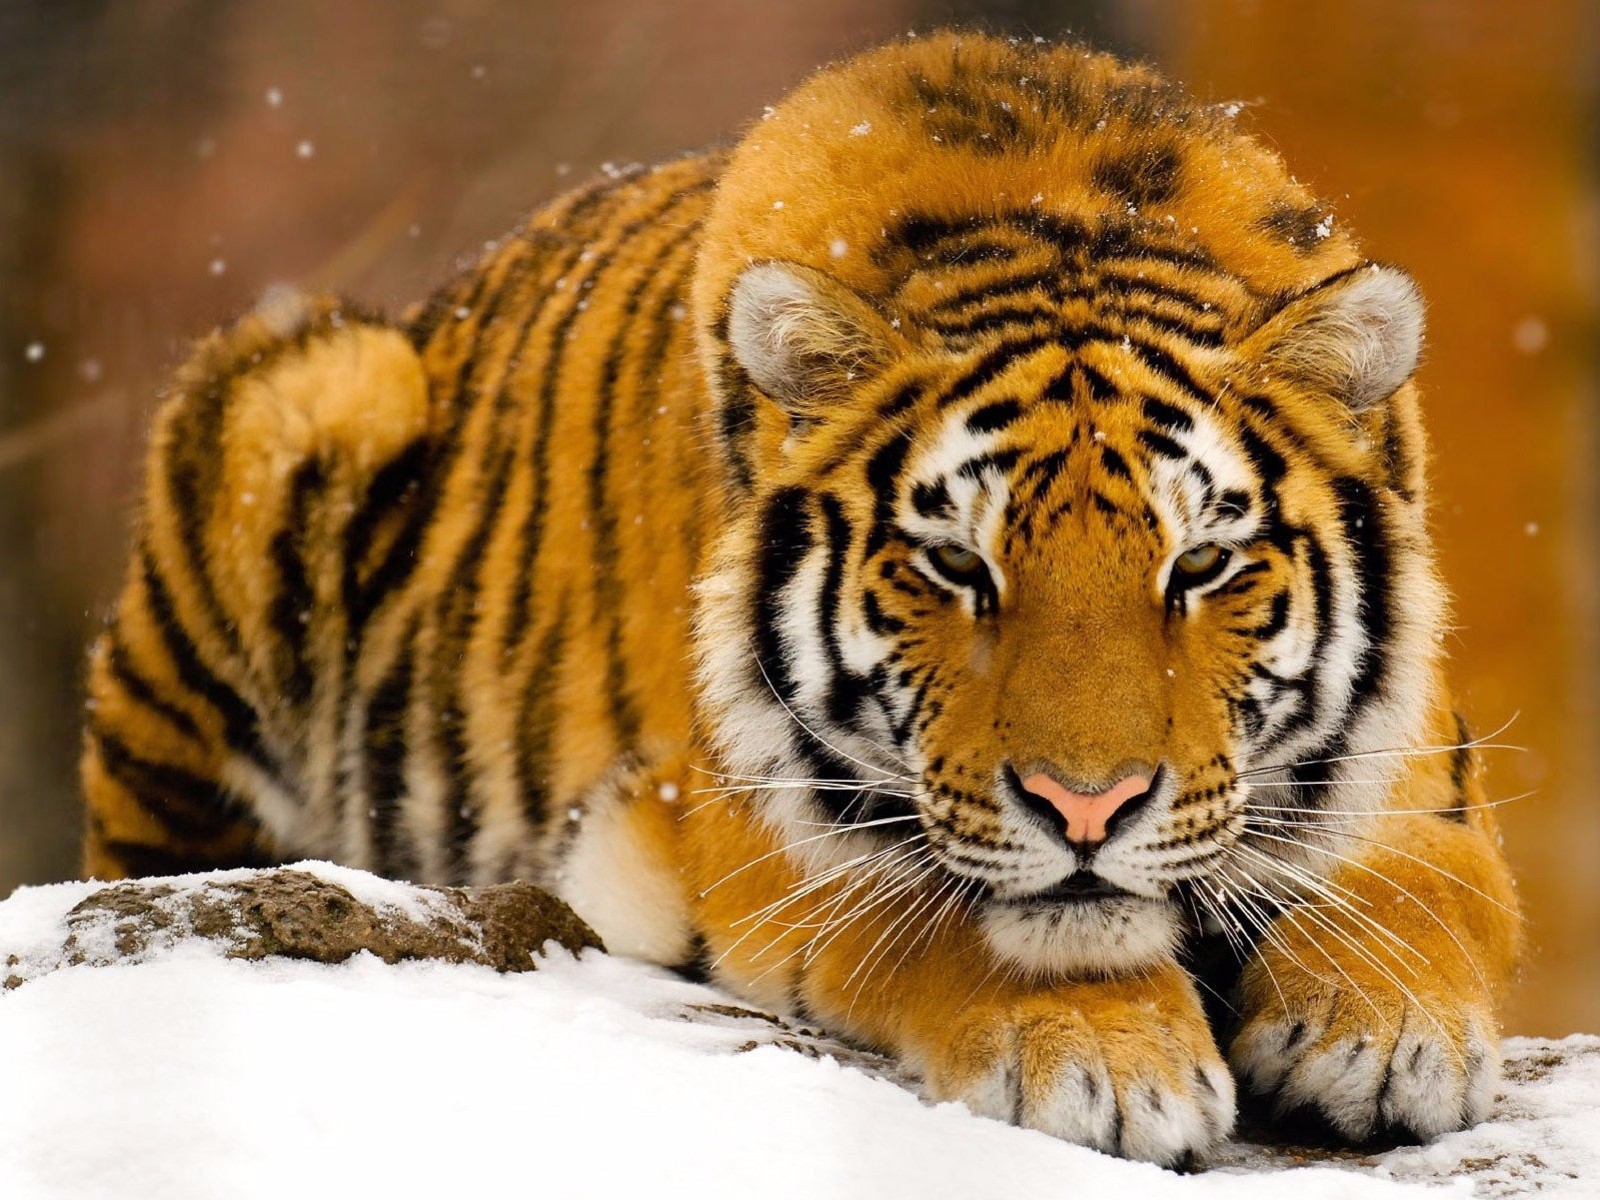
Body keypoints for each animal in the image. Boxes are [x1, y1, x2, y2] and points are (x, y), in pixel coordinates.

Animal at [81, 32, 1522, 1165]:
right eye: (957, 566)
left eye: (1200, 566)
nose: (1087, 809)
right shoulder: (746, 819)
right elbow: (952, 912)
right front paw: (1105, 1059)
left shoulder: (1419, 771)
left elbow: (1422, 886)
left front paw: (1385, 1035)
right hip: (304, 399)